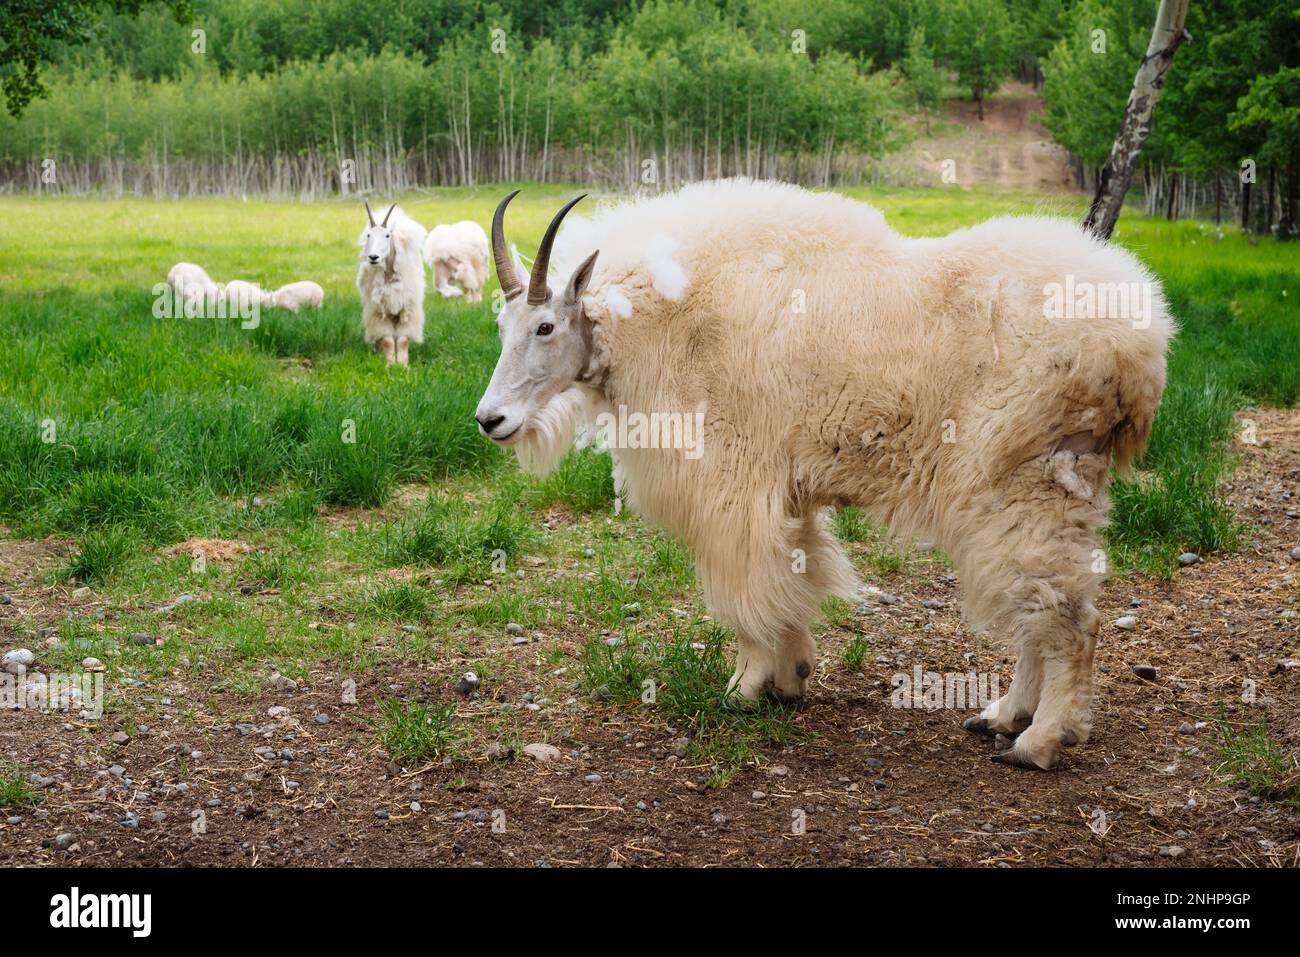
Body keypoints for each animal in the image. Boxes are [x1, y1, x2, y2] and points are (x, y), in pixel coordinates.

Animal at [356, 197, 426, 366]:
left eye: (387, 235)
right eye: (368, 235)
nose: (373, 257)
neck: (390, 274)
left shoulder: (407, 308)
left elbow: (402, 340)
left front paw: (403, 365)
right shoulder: (379, 310)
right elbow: (387, 340)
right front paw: (389, 364)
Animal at [478, 179, 1180, 774]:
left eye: (545, 326)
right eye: (501, 327)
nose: (491, 419)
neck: (658, 314)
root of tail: (1141, 348)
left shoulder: (734, 487)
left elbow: (749, 591)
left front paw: (745, 686)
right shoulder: (786, 492)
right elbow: (794, 574)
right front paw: (792, 678)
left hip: (1020, 483)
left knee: (1067, 618)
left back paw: (1040, 740)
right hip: (1056, 489)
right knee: (1048, 608)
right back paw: (1006, 716)